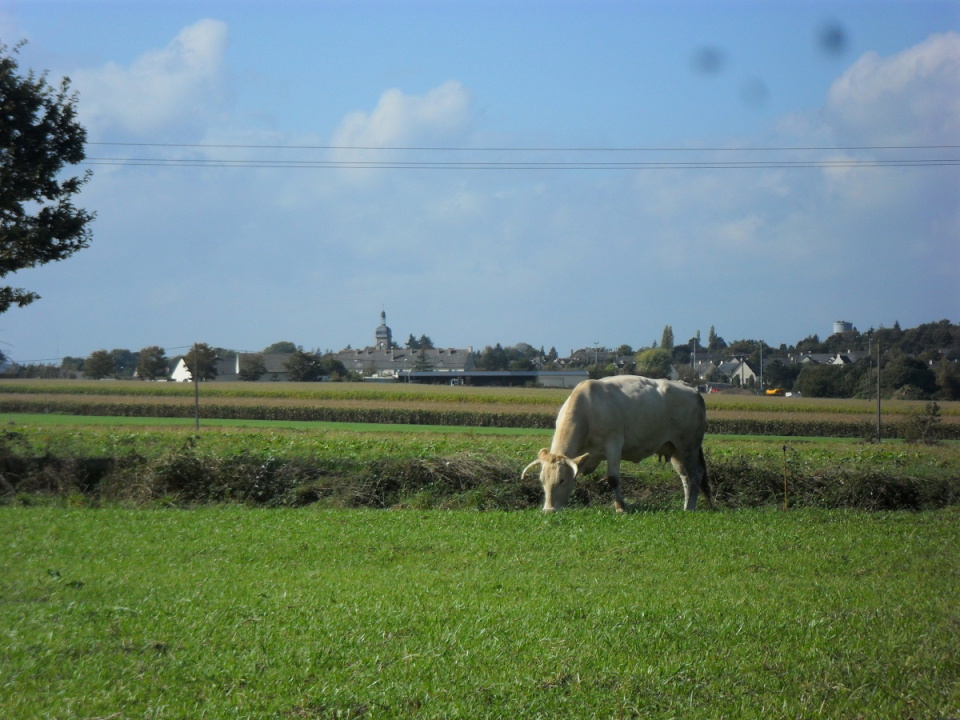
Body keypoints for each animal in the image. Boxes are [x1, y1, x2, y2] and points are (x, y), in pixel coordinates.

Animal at [522, 375, 712, 512]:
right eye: (541, 480)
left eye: (561, 480)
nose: (549, 510)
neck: (588, 410)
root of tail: (691, 389)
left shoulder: (613, 444)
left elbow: (613, 478)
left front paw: (620, 507)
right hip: (674, 449)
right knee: (685, 477)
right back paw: (686, 506)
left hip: (689, 445)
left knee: (695, 475)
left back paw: (691, 508)